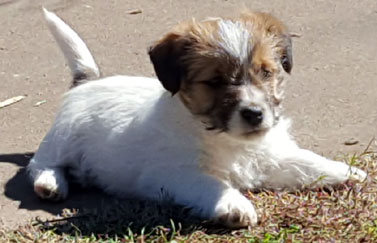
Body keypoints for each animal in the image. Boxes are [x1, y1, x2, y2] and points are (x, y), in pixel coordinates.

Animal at [27, 7, 368, 228]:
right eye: (215, 81)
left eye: (265, 72)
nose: (255, 114)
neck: (224, 138)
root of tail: (87, 81)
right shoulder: (174, 173)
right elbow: (210, 183)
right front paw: (233, 204)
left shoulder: (270, 157)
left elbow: (305, 162)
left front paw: (347, 172)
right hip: (60, 139)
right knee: (41, 164)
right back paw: (51, 183)